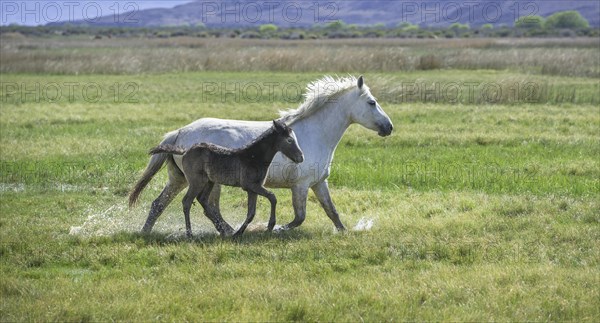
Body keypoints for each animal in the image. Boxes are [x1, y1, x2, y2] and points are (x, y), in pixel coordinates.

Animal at [148, 120, 302, 239]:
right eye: (289, 140)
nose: (301, 157)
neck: (253, 157)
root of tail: (185, 151)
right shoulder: (251, 185)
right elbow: (272, 197)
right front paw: (270, 226)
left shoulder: (252, 189)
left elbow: (251, 213)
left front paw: (238, 233)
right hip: (196, 181)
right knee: (187, 201)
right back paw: (190, 234)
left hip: (209, 182)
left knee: (203, 200)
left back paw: (224, 231)